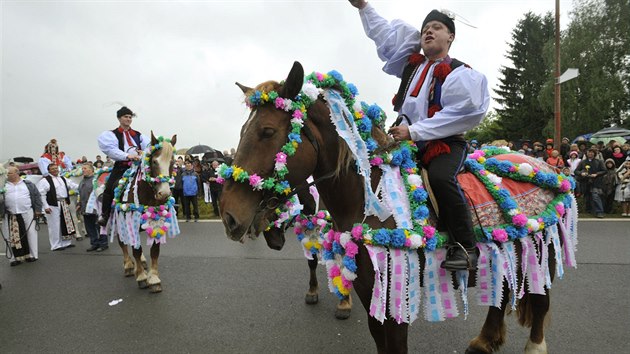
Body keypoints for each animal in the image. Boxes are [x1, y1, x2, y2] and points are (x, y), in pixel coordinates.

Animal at [100, 131, 181, 292]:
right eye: (154, 161)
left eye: (172, 162)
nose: (164, 194)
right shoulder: (129, 222)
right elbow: (135, 249)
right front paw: (142, 277)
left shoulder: (157, 223)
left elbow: (154, 251)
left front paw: (154, 278)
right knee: (123, 243)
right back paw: (129, 266)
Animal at [220, 62, 580, 352]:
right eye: (242, 131)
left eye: (267, 131)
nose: (229, 216)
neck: (371, 199)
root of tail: (542, 166)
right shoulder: (369, 290)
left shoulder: (396, 292)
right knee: (503, 293)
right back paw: (483, 341)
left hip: (541, 249)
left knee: (540, 299)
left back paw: (532, 347)